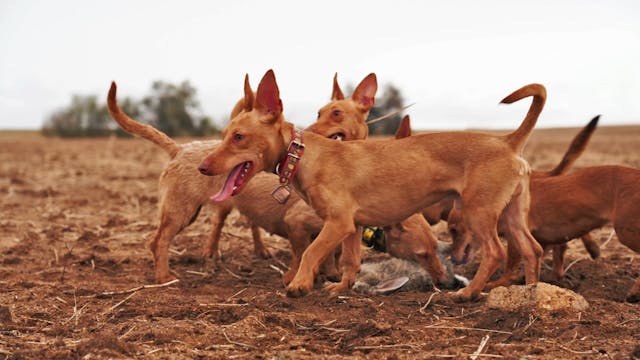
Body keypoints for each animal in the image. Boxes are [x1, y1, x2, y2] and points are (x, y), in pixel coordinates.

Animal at [199, 70, 544, 300]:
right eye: (225, 134)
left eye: (238, 137)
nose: (203, 167)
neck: (305, 154)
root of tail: (508, 141)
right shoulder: (352, 227)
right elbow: (350, 261)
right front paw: (340, 287)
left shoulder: (337, 223)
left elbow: (311, 252)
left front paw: (299, 284)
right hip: (513, 214)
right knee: (532, 249)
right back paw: (531, 294)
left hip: (479, 213)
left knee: (496, 252)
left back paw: (469, 292)